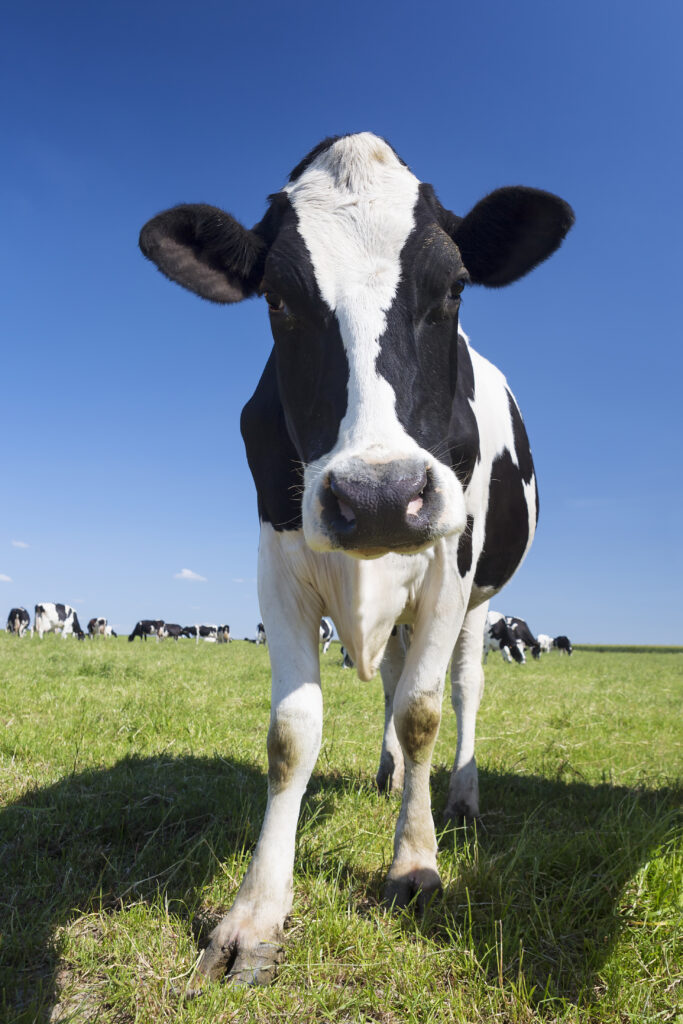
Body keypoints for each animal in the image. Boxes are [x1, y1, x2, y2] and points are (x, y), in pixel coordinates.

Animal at [140, 131, 573, 988]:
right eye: (276, 300)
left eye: (454, 288)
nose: (379, 496)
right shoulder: (277, 560)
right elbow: (292, 734)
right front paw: (253, 914)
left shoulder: (447, 570)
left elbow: (423, 712)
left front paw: (414, 865)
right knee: (394, 677)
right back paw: (387, 778)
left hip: (479, 603)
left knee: (459, 690)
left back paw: (459, 798)